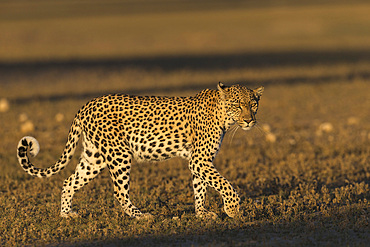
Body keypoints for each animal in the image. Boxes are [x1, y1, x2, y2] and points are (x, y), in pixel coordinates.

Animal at [15, 82, 262, 219]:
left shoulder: (199, 160)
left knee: (69, 181)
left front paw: (202, 214)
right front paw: (233, 210)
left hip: (94, 157)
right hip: (119, 154)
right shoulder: (200, 160)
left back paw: (66, 214)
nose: (249, 120)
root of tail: (86, 105)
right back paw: (140, 216)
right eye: (238, 105)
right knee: (119, 191)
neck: (224, 117)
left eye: (253, 104)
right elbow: (224, 184)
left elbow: (201, 187)